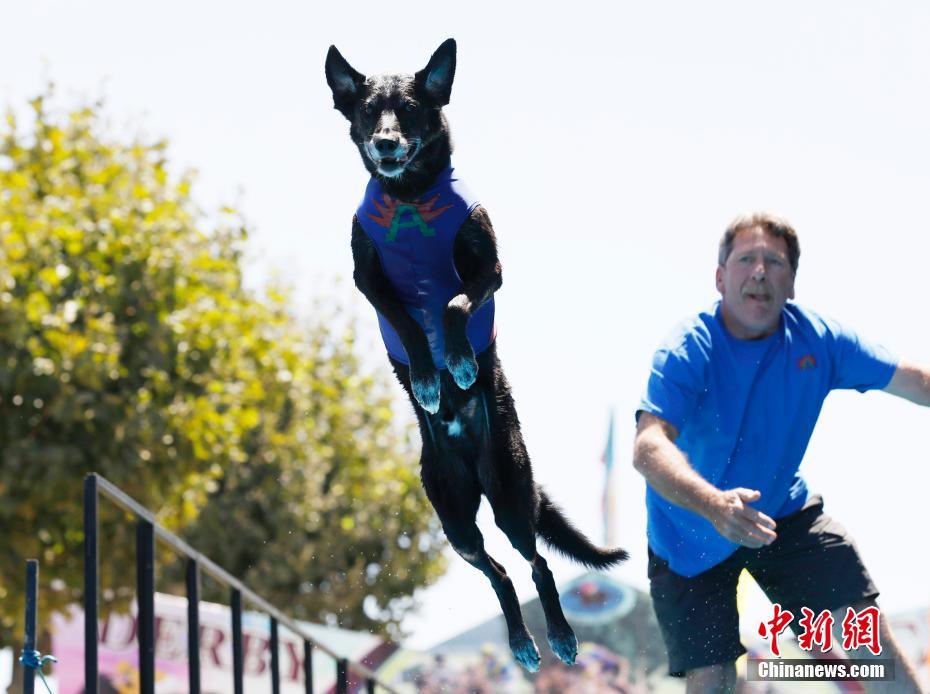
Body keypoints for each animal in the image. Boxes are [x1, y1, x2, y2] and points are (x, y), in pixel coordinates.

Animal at [322, 39, 628, 676]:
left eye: (411, 109)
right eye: (368, 110)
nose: (385, 142)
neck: (409, 198)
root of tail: (468, 459)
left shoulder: (490, 269)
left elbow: (453, 304)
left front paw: (460, 363)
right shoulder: (370, 281)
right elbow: (411, 322)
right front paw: (427, 377)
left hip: (511, 495)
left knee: (536, 562)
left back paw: (559, 633)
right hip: (456, 519)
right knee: (498, 573)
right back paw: (520, 639)